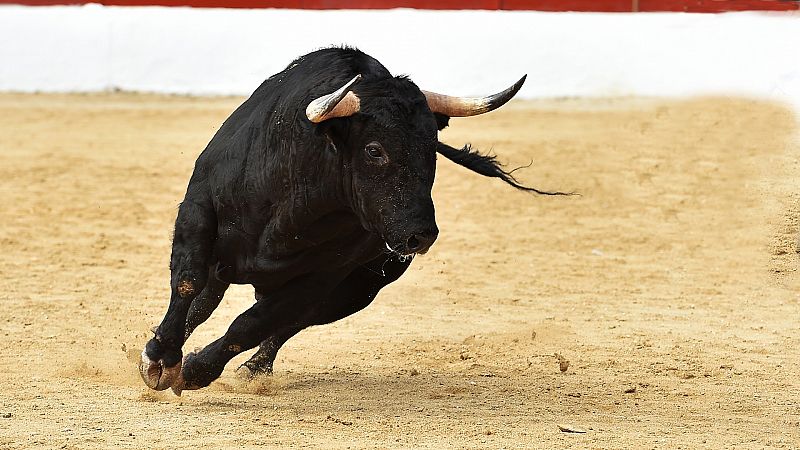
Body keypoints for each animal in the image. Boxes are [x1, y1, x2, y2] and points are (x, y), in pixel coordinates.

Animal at [141, 46, 564, 394]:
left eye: (432, 148)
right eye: (374, 150)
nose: (421, 236)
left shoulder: (325, 275)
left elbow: (253, 323)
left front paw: (195, 369)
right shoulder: (198, 210)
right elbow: (187, 284)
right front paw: (159, 358)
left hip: (357, 290)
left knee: (289, 321)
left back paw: (254, 369)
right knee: (205, 301)